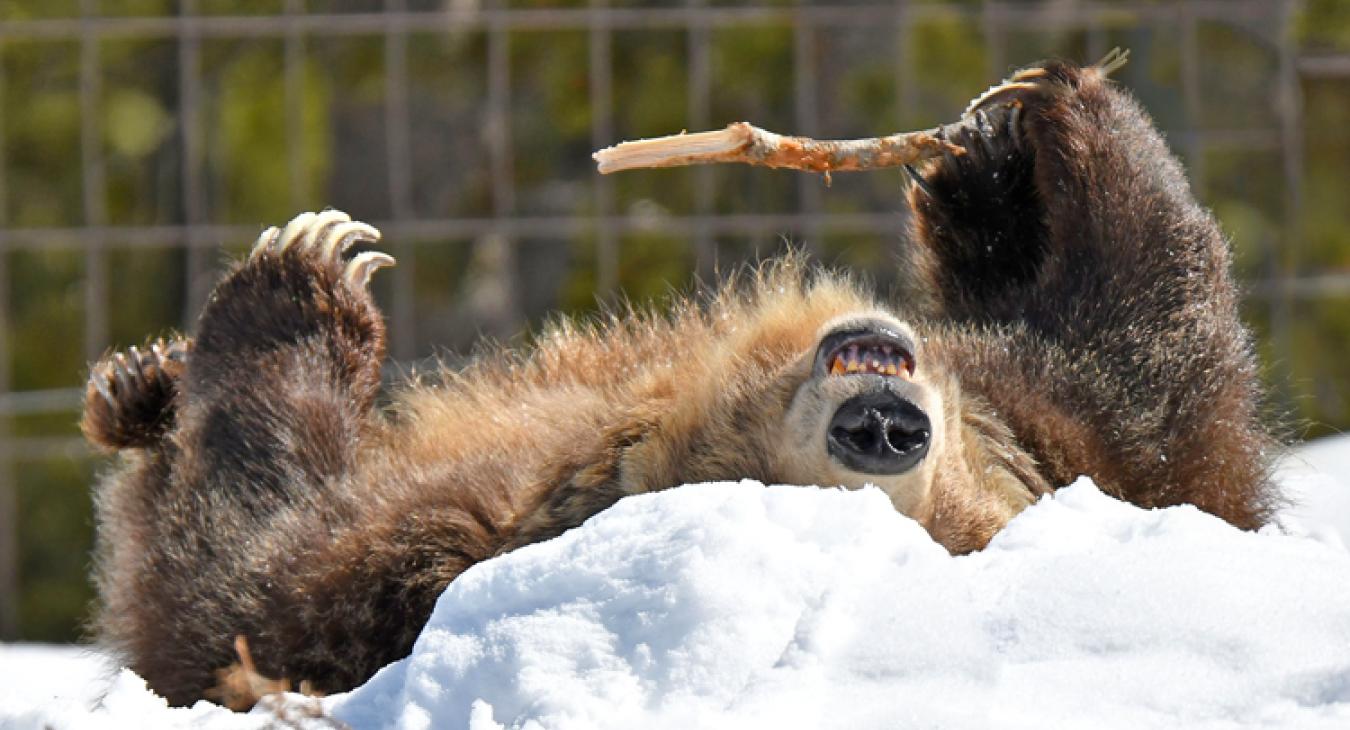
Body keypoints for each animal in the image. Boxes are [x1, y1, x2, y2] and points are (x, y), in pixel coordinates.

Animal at [82, 57, 1278, 707]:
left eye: (935, 511)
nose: (884, 428)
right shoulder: (1059, 422)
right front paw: (991, 151)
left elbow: (233, 581)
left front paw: (303, 277)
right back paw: (138, 383)